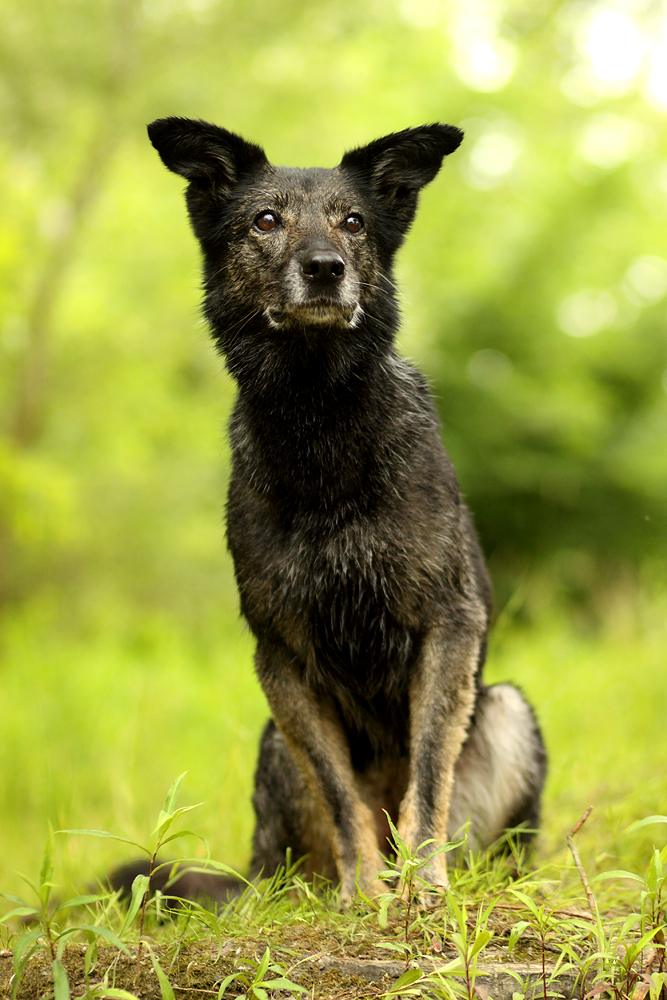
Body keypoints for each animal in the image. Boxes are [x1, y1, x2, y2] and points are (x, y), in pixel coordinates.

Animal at [133, 119, 544, 908]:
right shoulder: (282, 657)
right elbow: (339, 792)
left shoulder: (447, 625)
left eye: (353, 222)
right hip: (274, 745)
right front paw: (365, 896)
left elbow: (428, 774)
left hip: (507, 712)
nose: (325, 268)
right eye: (266, 221)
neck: (317, 414)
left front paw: (423, 889)